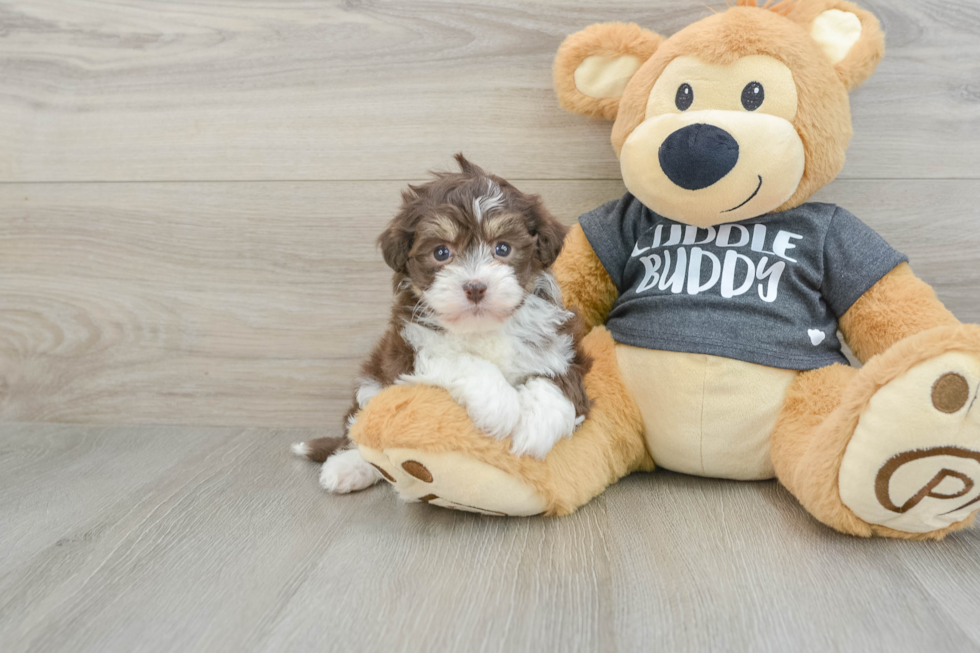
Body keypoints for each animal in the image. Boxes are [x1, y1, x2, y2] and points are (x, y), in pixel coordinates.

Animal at [292, 157, 588, 494]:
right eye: (441, 252)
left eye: (502, 248)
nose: (475, 287)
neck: (482, 328)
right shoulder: (410, 352)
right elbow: (462, 361)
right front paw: (501, 407)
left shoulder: (561, 345)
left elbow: (558, 381)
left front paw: (536, 426)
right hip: (372, 384)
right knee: (360, 431)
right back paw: (348, 467)